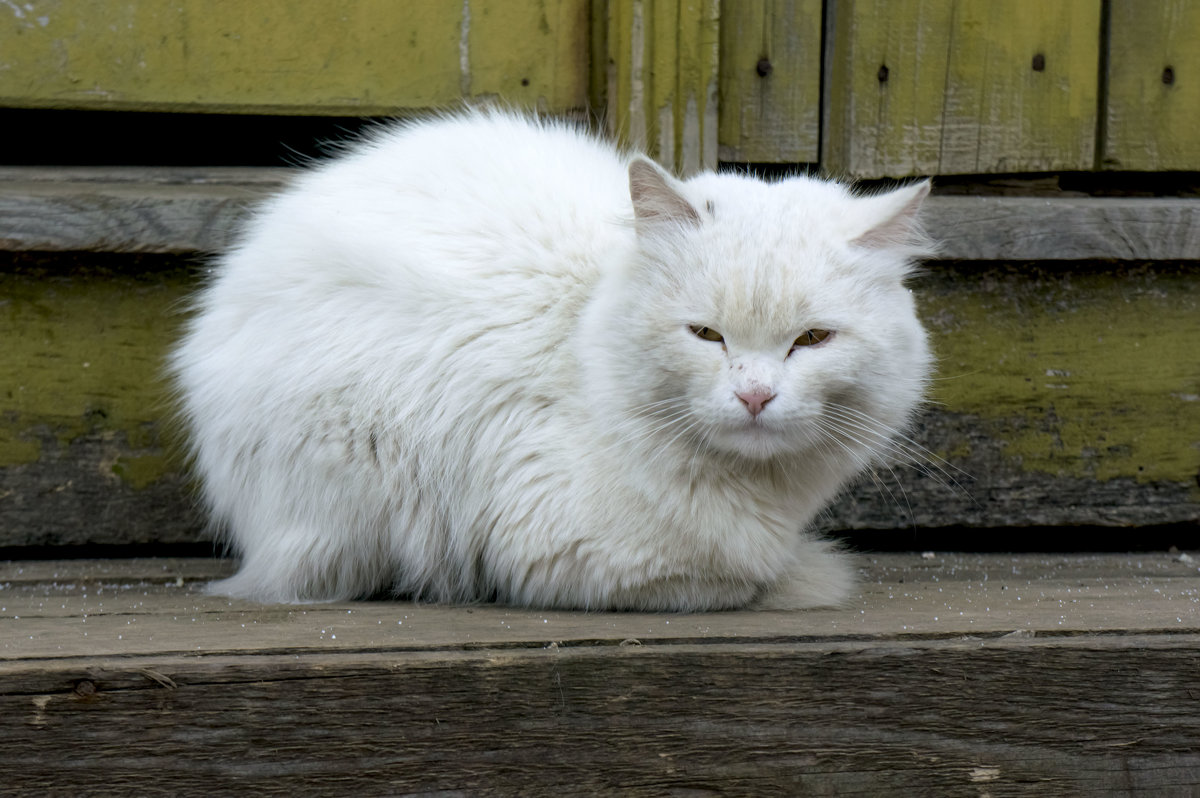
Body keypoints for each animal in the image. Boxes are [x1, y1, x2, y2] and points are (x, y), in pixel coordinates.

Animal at [171, 110, 936, 609]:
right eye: (706, 335)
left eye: (811, 340)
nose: (755, 397)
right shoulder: (554, 547)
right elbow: (741, 580)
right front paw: (807, 576)